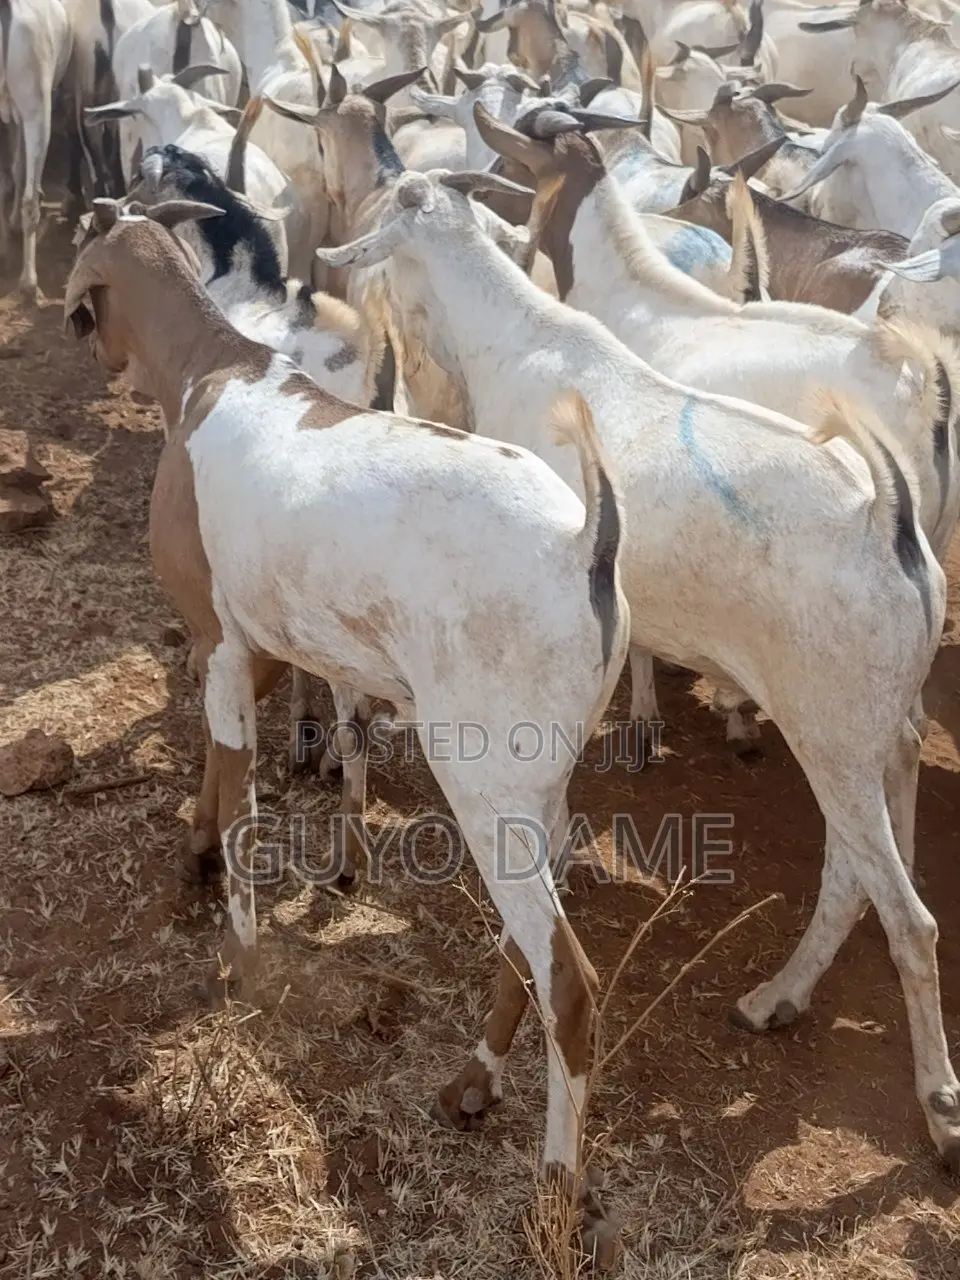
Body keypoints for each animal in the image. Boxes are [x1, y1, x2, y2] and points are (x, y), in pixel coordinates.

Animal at [66, 195, 630, 1259]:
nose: (97, 358)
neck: (211, 372)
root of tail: (588, 543)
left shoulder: (221, 640)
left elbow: (237, 790)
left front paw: (239, 959)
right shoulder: (267, 644)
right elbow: (279, 751)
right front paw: (240, 857)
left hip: (484, 774)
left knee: (570, 985)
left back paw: (554, 1192)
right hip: (538, 781)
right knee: (531, 937)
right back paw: (473, 1080)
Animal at [316, 164, 960, 1177]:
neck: (518, 343)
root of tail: (887, 522)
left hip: (834, 732)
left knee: (908, 916)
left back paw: (936, 1104)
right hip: (872, 730)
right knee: (860, 870)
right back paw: (777, 997)